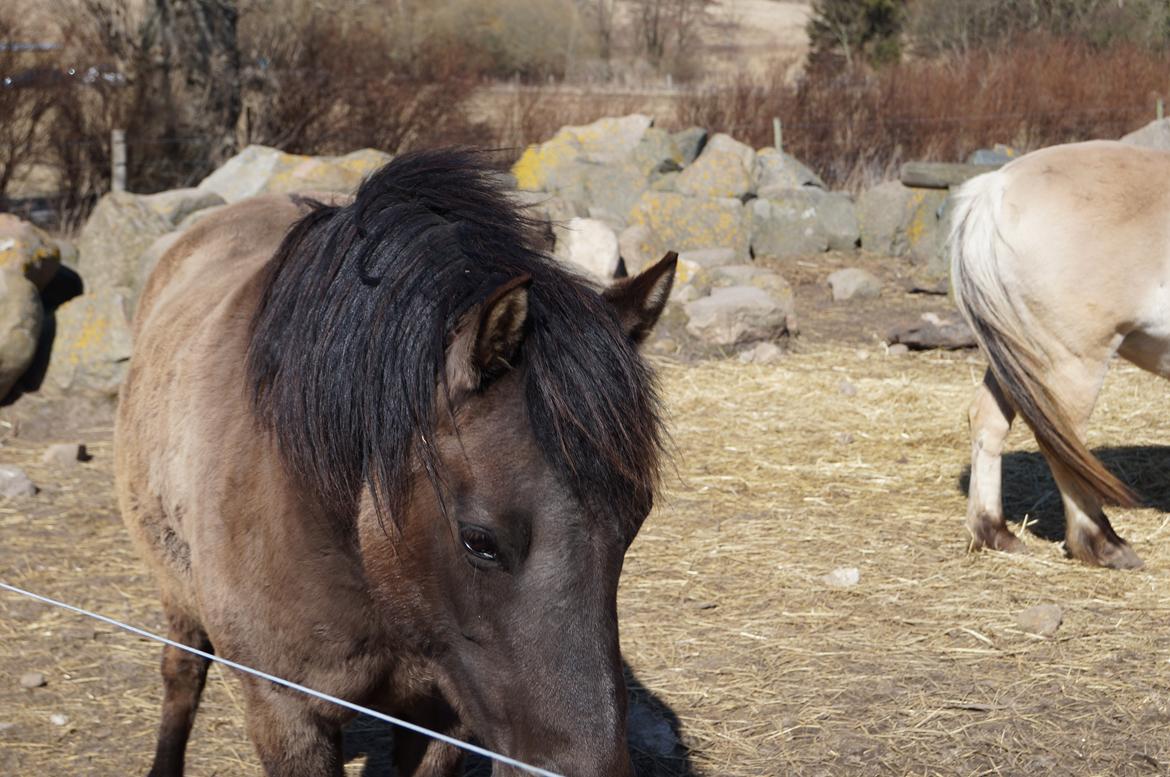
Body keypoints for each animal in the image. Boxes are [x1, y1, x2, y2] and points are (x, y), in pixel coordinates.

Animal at [115, 148, 683, 772]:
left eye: (635, 523)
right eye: (479, 541)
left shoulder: (443, 718)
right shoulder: (286, 714)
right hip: (176, 590)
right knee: (183, 670)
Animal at [950, 139, 1170, 568]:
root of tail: (994, 189)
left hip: (1018, 356)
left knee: (988, 421)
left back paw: (994, 532)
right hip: (1071, 362)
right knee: (1065, 444)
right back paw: (1102, 544)